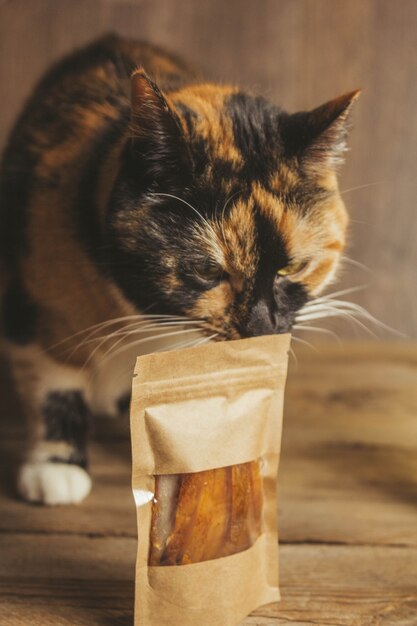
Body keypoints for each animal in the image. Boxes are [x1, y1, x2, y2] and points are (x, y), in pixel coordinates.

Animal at [0, 33, 358, 502]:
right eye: (206, 271)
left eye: (292, 268)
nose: (262, 327)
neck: (148, 319)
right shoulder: (35, 303)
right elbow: (53, 380)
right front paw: (56, 467)